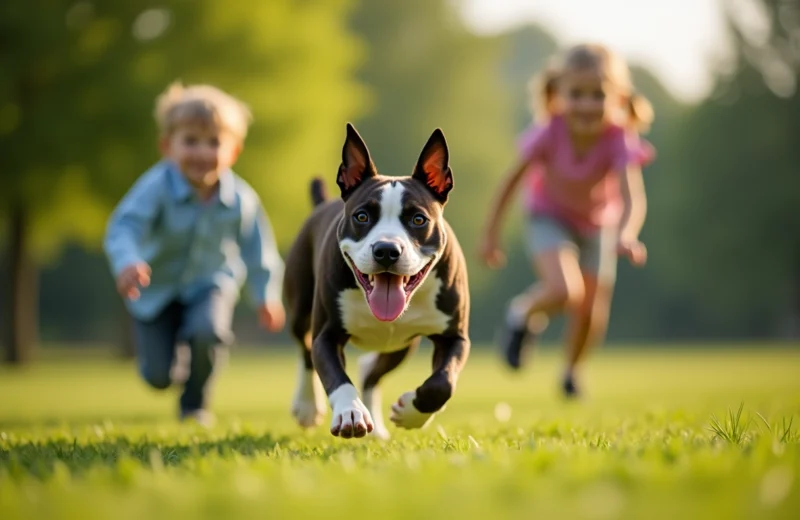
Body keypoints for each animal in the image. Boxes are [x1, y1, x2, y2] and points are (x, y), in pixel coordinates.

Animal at [282, 123, 468, 438]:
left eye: (418, 219)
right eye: (362, 216)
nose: (387, 250)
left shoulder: (454, 336)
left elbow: (443, 384)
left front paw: (411, 413)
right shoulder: (327, 335)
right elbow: (336, 376)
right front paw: (350, 412)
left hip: (402, 345)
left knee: (372, 372)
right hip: (299, 307)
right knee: (305, 348)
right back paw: (307, 407)